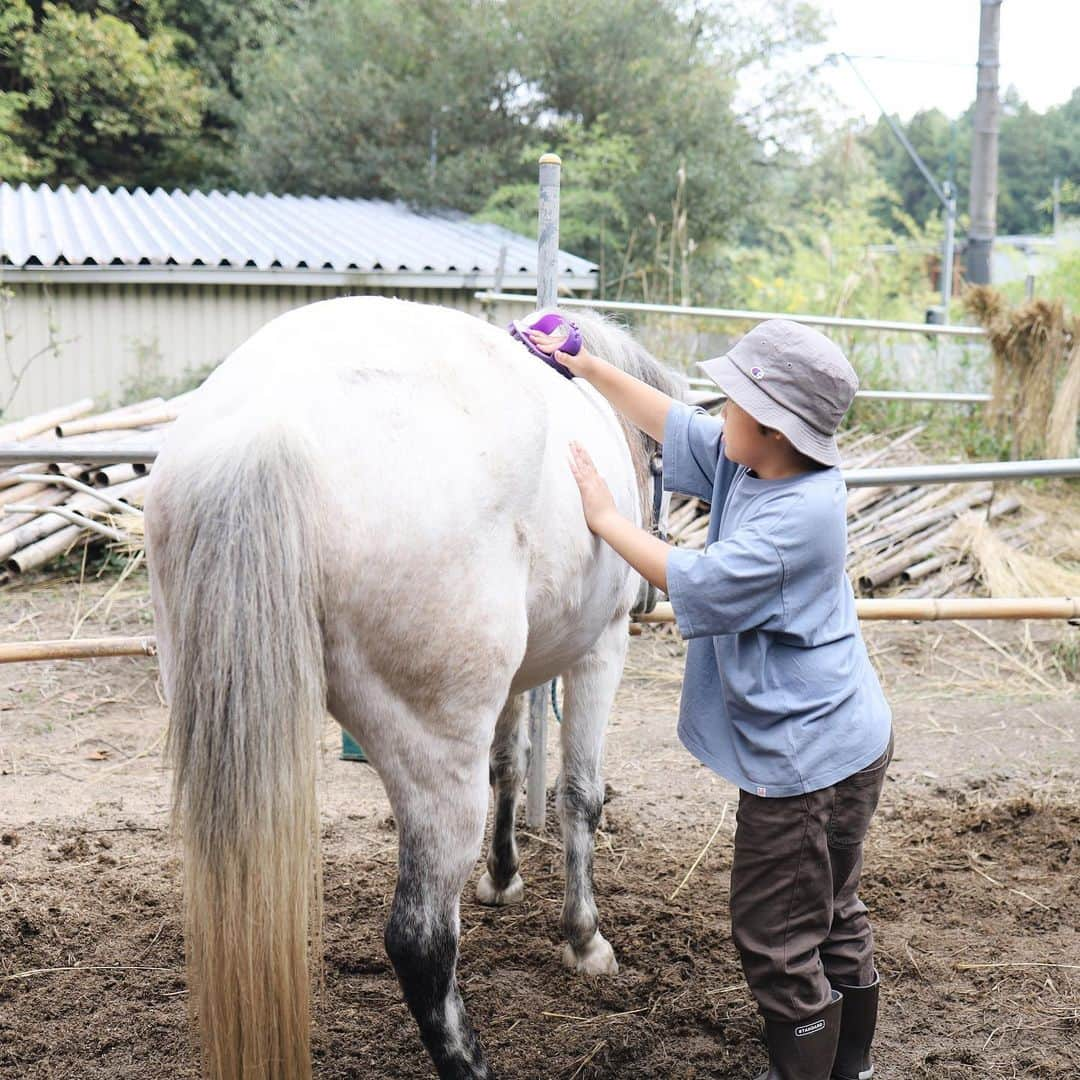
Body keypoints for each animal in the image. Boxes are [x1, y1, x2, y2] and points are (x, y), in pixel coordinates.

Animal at [144, 298, 682, 1080]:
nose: (650, 597)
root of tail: (268, 424)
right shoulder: (600, 650)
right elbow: (581, 797)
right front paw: (585, 940)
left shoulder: (519, 679)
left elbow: (510, 765)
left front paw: (502, 878)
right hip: (435, 753)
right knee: (420, 940)